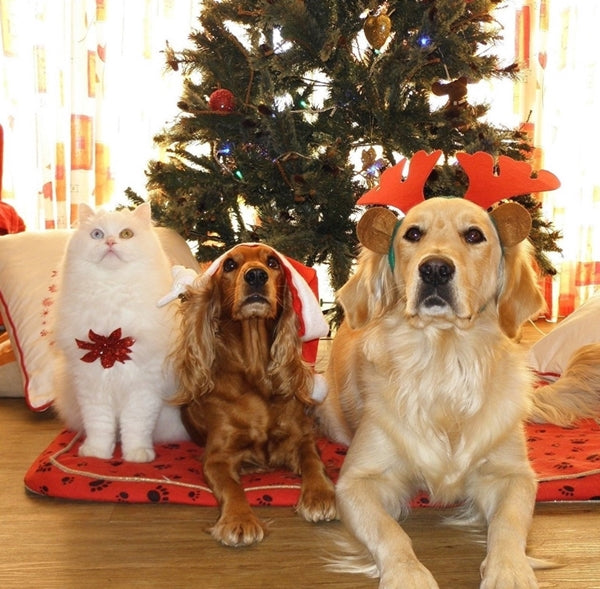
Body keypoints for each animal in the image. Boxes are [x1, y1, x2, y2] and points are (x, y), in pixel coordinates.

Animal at [54, 204, 190, 462]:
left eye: (126, 234)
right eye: (97, 234)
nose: (109, 241)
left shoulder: (143, 387)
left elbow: (136, 427)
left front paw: (136, 455)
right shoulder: (91, 386)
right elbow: (100, 426)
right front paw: (97, 454)